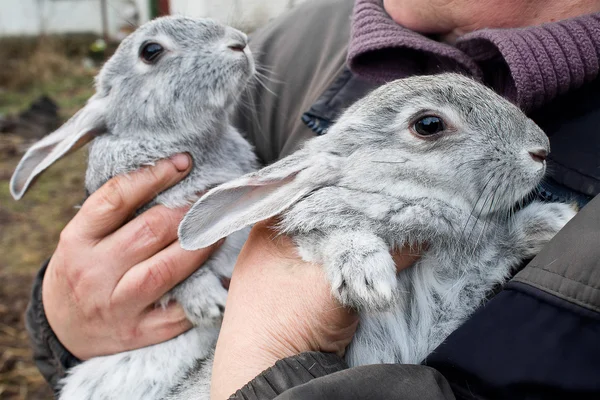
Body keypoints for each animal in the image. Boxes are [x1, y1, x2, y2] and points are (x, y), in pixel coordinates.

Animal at [179, 73, 576, 380]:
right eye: (429, 125)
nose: (541, 149)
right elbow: (335, 234)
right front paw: (368, 279)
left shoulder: (460, 282)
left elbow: (499, 246)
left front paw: (557, 219)